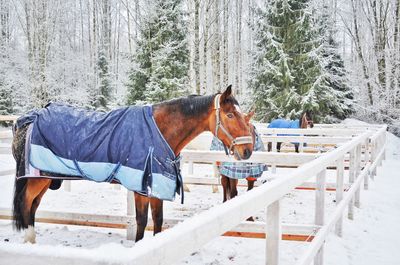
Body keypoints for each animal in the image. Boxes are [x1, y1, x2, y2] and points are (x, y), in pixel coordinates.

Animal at [13, 84, 256, 241]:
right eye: (230, 115)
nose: (247, 150)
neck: (159, 130)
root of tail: (28, 119)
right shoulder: (141, 188)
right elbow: (141, 221)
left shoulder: (157, 186)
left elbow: (157, 220)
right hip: (36, 179)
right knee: (25, 204)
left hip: (44, 178)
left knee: (33, 207)